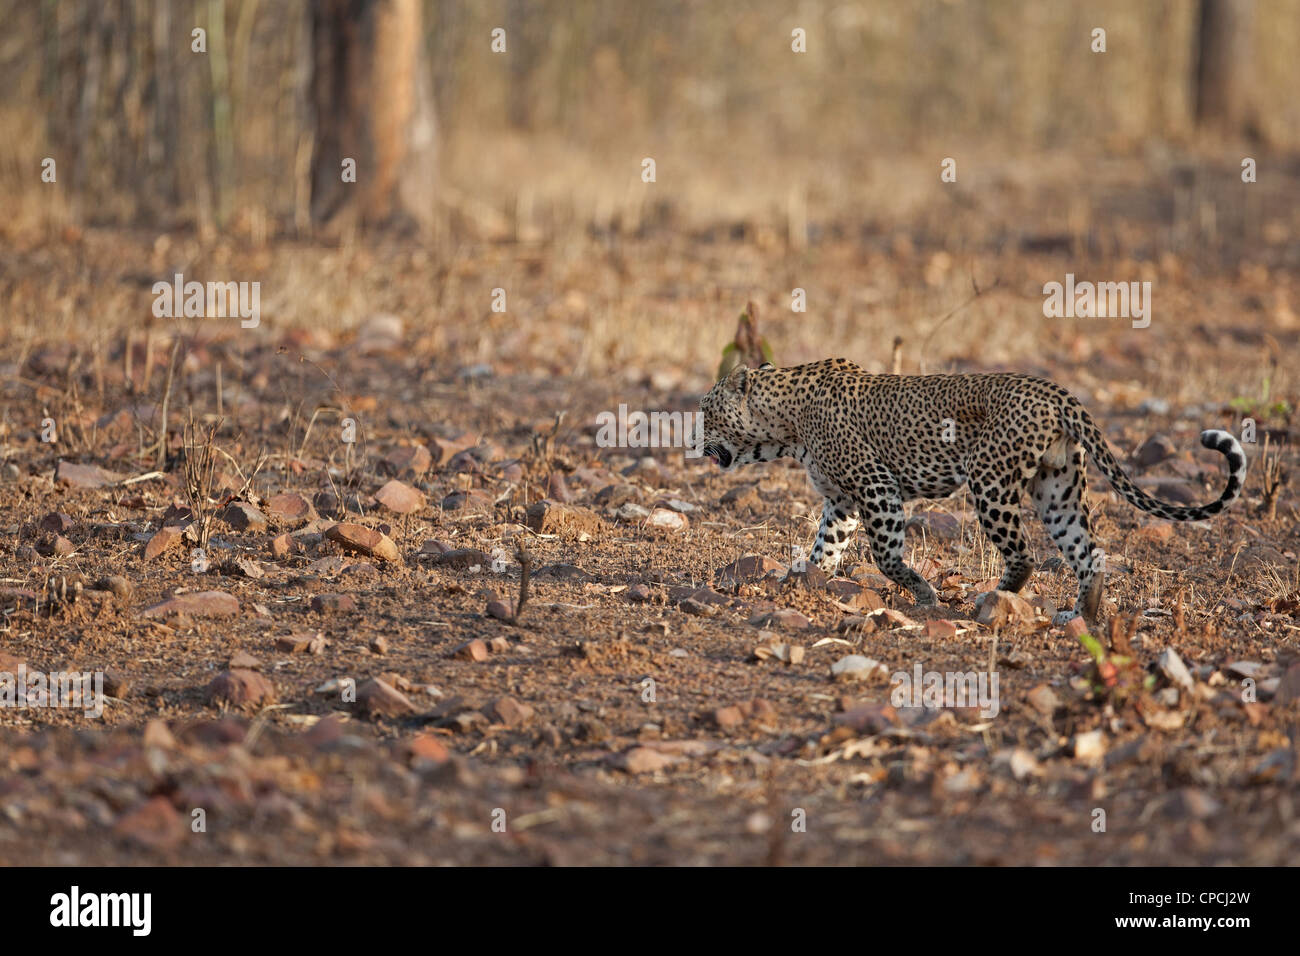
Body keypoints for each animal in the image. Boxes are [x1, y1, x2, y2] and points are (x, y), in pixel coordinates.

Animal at [702, 356, 1248, 624]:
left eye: (707, 412)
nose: (696, 439)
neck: (784, 424)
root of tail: (1056, 392)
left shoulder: (876, 486)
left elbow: (886, 555)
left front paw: (923, 594)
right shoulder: (841, 500)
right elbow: (825, 549)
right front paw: (803, 585)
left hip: (990, 481)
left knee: (1024, 554)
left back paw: (992, 601)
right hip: (1058, 487)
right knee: (1088, 551)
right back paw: (1080, 614)